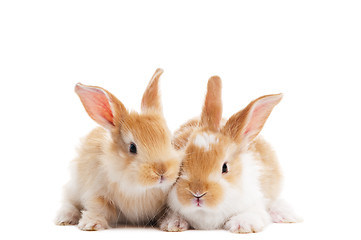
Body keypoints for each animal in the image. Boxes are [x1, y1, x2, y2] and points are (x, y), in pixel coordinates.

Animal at [54, 68, 180, 230]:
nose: (162, 172)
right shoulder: (97, 192)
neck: (140, 189)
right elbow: (98, 208)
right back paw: (65, 218)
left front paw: (174, 224)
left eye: (170, 141)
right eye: (132, 147)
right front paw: (91, 224)